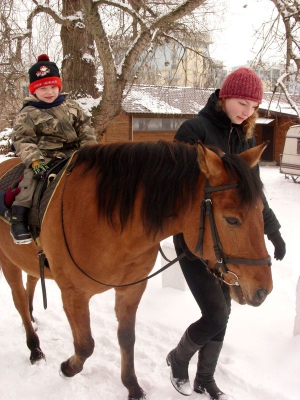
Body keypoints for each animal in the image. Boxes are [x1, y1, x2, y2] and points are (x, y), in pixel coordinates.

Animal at [0, 140, 272, 396]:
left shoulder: (131, 289)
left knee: (31, 283)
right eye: (231, 220)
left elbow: (127, 338)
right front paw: (67, 368)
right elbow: (86, 345)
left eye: (262, 211)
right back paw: (34, 347)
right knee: (19, 300)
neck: (105, 220)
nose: (264, 290)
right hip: (7, 263)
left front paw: (132, 387)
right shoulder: (73, 294)